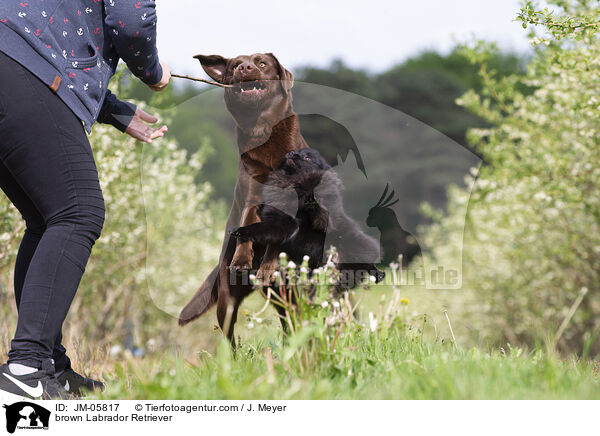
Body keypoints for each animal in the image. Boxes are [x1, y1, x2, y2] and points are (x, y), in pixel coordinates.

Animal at [231, 147, 384, 290]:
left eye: (307, 157)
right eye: (297, 151)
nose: (292, 153)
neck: (294, 184)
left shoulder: (322, 219)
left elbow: (321, 213)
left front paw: (312, 201)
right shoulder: (281, 222)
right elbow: (262, 227)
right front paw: (241, 231)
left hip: (352, 247)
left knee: (366, 262)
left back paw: (379, 274)